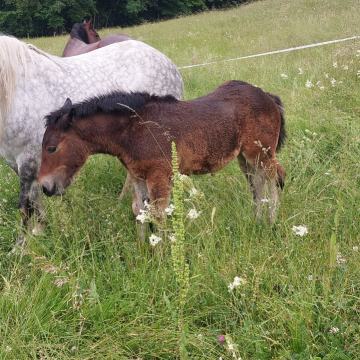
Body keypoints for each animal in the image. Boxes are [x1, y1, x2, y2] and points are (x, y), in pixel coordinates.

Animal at [38, 81, 286, 225]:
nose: (46, 187)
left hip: (261, 154)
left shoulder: (159, 176)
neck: (133, 130)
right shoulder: (138, 177)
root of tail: (267, 96)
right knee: (258, 185)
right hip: (246, 158)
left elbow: (158, 214)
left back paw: (271, 222)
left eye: (51, 148)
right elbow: (139, 210)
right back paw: (257, 221)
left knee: (273, 180)